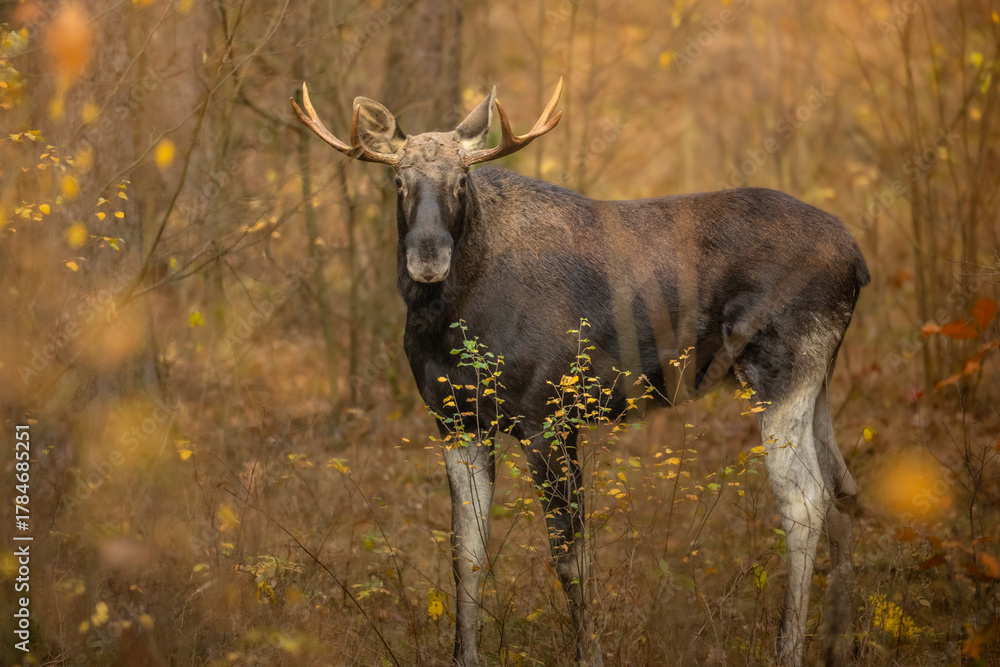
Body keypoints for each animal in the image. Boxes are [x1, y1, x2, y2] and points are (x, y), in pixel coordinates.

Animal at [291, 77, 868, 667]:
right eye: (399, 181)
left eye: (461, 180)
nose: (427, 259)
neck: (454, 320)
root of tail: (856, 259)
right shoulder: (456, 423)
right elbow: (465, 551)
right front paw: (464, 655)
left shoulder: (549, 416)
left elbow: (571, 558)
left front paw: (589, 652)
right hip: (818, 378)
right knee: (845, 489)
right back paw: (840, 645)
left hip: (781, 371)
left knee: (805, 500)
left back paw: (789, 649)